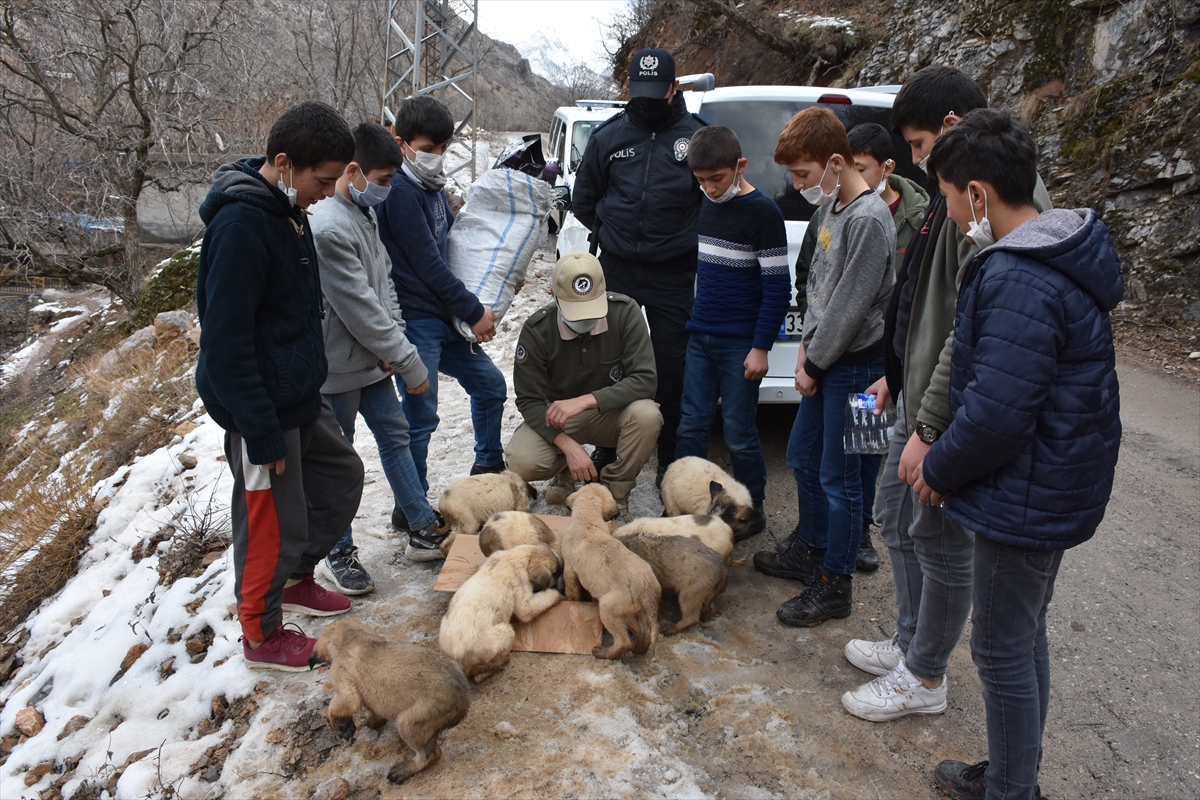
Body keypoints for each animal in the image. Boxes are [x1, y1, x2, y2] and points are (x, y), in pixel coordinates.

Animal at [309, 618, 468, 782]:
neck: (351, 638)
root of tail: (463, 700)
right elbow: (375, 715)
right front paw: (364, 724)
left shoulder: (346, 688)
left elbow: (336, 707)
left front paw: (341, 725)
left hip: (410, 723)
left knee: (430, 755)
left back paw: (403, 771)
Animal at [439, 544, 559, 681]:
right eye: (556, 573)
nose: (560, 583)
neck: (515, 557)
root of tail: (456, 657)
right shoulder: (524, 603)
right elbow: (540, 601)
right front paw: (558, 595)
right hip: (506, 632)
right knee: (479, 676)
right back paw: (502, 661)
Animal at [559, 484, 662, 662]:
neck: (588, 521)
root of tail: (647, 591)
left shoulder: (570, 570)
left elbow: (572, 592)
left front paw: (571, 601)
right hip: (640, 612)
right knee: (645, 635)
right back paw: (638, 650)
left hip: (609, 610)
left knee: (623, 641)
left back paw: (603, 653)